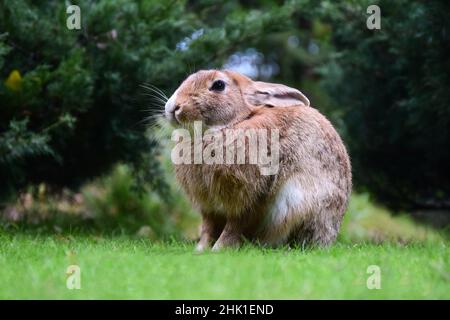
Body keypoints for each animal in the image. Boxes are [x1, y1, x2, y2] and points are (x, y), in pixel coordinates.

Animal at [165, 69, 352, 250]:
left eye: (219, 85)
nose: (173, 107)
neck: (235, 122)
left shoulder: (249, 199)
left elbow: (234, 227)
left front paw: (219, 249)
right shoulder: (209, 207)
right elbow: (207, 228)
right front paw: (200, 250)